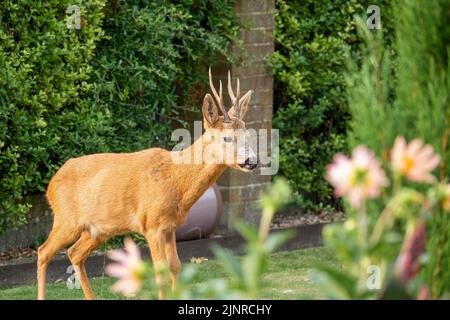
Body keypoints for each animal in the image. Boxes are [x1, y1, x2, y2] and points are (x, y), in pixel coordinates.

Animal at [36, 68, 256, 300]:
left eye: (248, 135)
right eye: (227, 138)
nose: (252, 161)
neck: (175, 179)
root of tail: (51, 184)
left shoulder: (170, 227)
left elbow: (176, 267)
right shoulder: (152, 225)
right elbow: (161, 272)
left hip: (97, 229)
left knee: (74, 252)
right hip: (66, 219)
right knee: (43, 251)